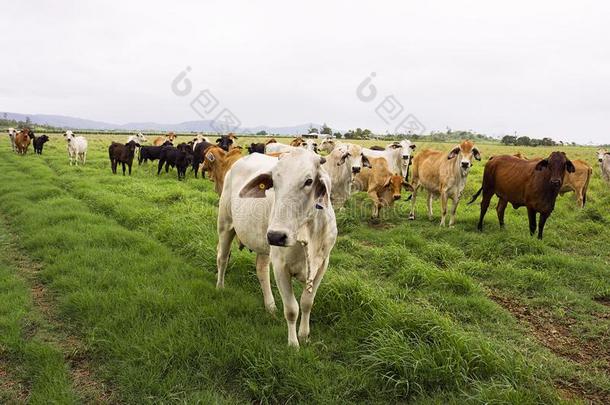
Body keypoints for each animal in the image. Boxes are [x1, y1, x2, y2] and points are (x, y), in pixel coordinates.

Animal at [215, 148, 338, 344]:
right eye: (274, 182)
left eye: (309, 181)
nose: (276, 236)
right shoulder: (281, 266)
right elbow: (292, 309)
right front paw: (293, 344)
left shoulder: (322, 264)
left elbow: (307, 302)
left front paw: (304, 335)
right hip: (225, 225)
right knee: (223, 258)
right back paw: (220, 287)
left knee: (261, 269)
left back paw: (270, 305)